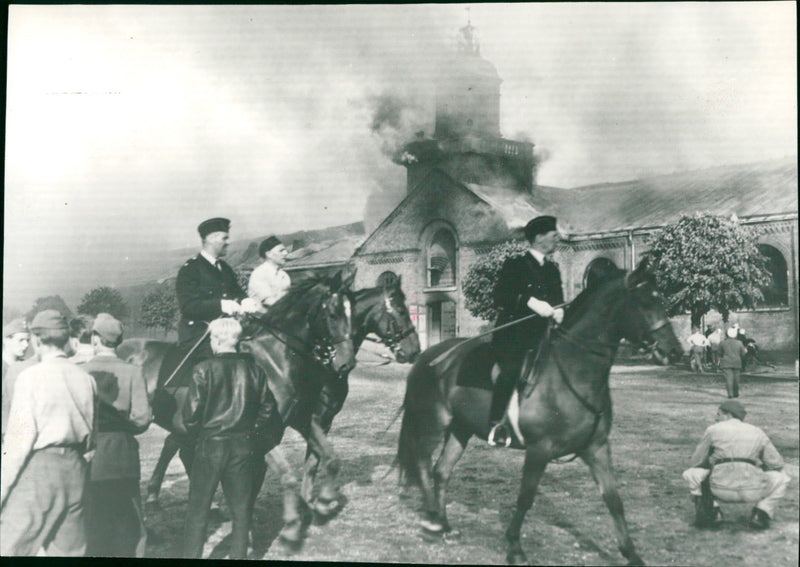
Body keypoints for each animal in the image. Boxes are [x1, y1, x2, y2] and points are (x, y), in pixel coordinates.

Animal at [394, 262, 680, 564]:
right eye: (645, 301)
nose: (675, 351)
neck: (572, 372)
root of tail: (427, 357)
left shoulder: (597, 447)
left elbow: (613, 500)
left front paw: (631, 554)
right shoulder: (539, 449)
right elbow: (525, 497)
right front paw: (515, 547)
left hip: (461, 429)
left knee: (441, 471)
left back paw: (445, 525)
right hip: (432, 423)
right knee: (423, 466)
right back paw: (432, 523)